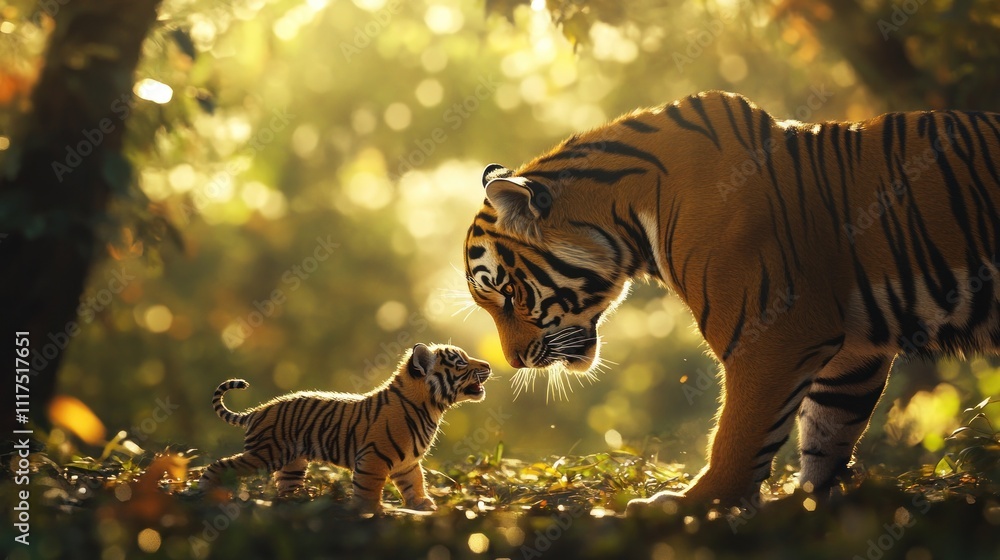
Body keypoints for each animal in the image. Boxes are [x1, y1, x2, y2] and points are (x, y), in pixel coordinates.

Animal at [198, 343, 491, 513]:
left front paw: (422, 504)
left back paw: (299, 500)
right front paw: (371, 511)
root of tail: (257, 411)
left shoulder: (407, 462)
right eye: (461, 362)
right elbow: (369, 488)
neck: (432, 407)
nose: (488, 364)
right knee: (220, 465)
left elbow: (415, 483)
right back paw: (204, 492)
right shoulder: (373, 458)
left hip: (292, 463)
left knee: (286, 486)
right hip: (266, 454)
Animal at [463, 90, 1000, 511]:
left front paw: (695, 504)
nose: (514, 361)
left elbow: (740, 433)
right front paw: (805, 505)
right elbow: (826, 431)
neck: (633, 220)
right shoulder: (854, 352)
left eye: (506, 294)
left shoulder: (773, 333)